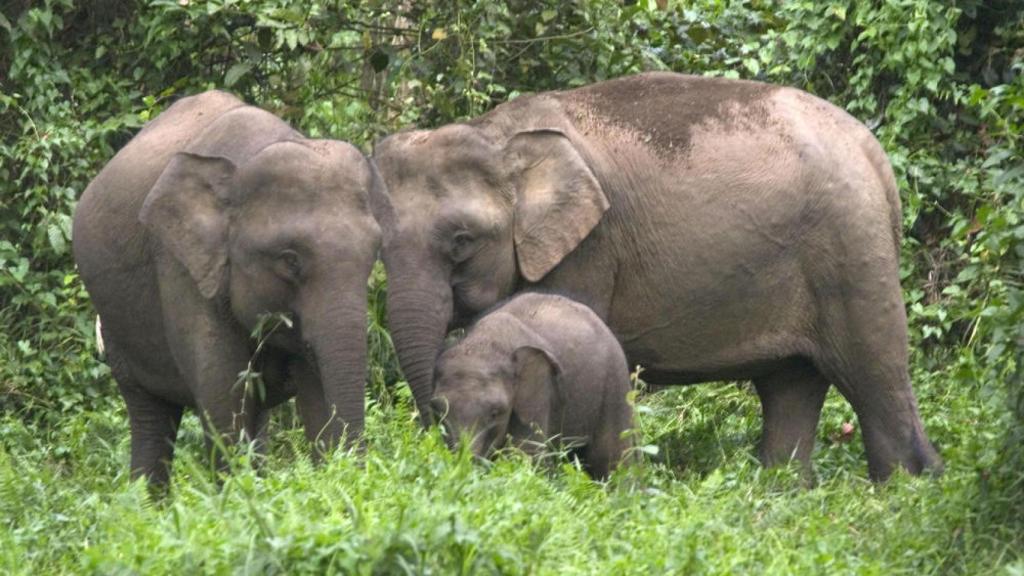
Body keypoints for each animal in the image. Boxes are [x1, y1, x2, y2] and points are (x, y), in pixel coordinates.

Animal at [73, 90, 383, 485]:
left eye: (374, 253)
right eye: (290, 260)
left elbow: (312, 394)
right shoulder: (181, 266)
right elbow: (223, 397)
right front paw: (240, 493)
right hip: (118, 329)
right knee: (150, 416)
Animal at [431, 292, 633, 479]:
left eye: (495, 413)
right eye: (439, 411)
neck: (486, 343)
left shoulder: (540, 390)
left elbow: (526, 455)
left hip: (614, 382)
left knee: (612, 458)